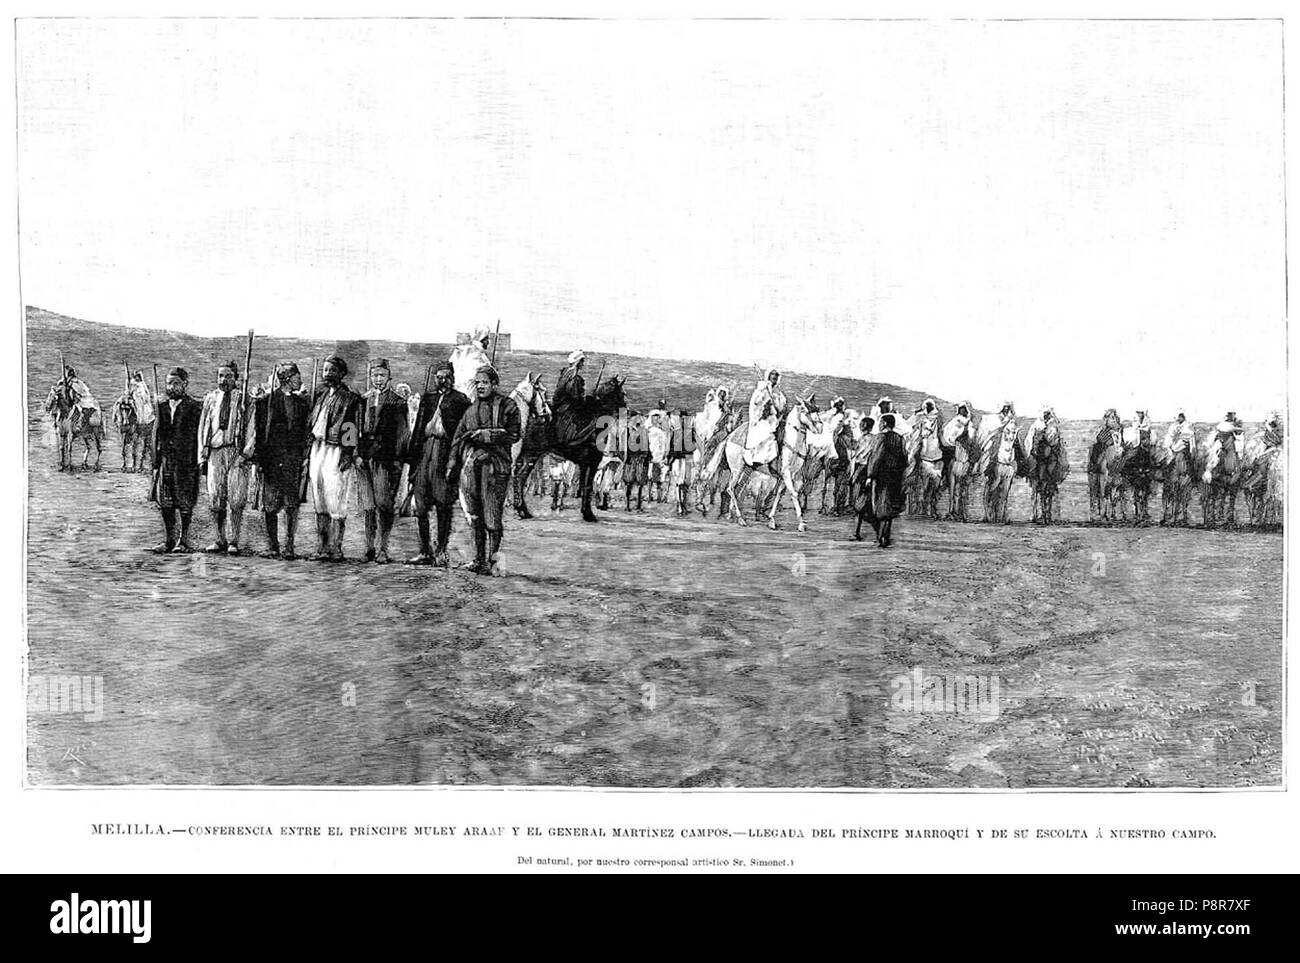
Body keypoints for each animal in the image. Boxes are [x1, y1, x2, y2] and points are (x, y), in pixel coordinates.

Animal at [509, 376, 626, 525]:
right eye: (622, 394)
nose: (626, 408)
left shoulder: (586, 464)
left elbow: (584, 485)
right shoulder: (591, 462)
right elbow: (587, 486)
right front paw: (588, 514)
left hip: (528, 455)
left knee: (519, 476)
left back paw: (523, 511)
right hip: (532, 454)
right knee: (520, 476)